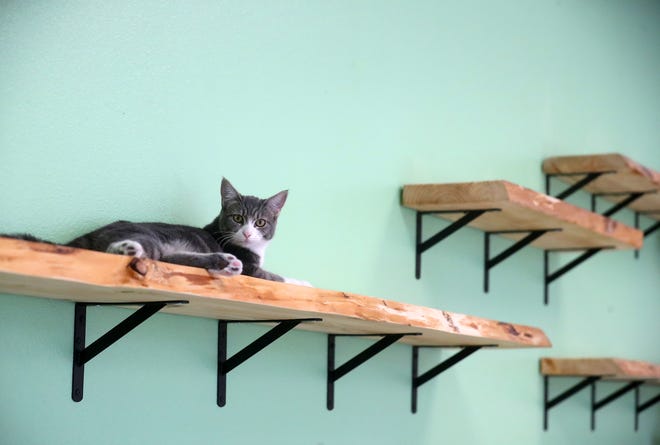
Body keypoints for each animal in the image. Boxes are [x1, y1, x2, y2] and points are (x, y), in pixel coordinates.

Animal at [4, 180, 310, 286]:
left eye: (261, 223)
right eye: (237, 218)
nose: (247, 233)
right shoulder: (251, 267)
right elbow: (272, 275)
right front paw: (304, 282)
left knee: (169, 259)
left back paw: (224, 263)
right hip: (147, 237)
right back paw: (127, 248)